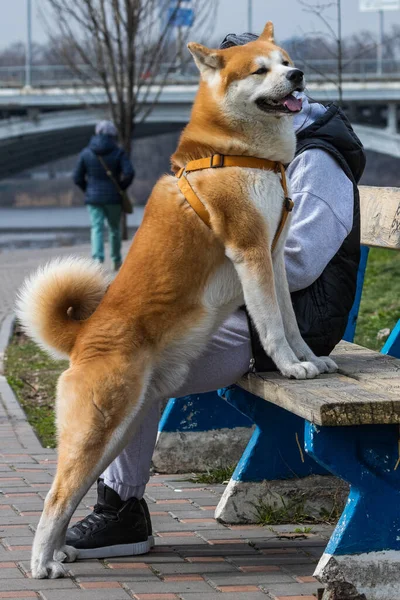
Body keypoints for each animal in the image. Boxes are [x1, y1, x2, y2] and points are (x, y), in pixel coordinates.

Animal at [18, 21, 338, 580]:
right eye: (261, 69)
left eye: (286, 60)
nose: (298, 74)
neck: (242, 151)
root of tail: (82, 339)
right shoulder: (251, 251)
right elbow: (272, 325)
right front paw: (289, 366)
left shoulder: (275, 254)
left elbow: (291, 322)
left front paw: (309, 360)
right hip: (99, 427)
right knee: (55, 497)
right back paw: (42, 565)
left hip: (119, 431)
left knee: (71, 494)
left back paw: (59, 552)